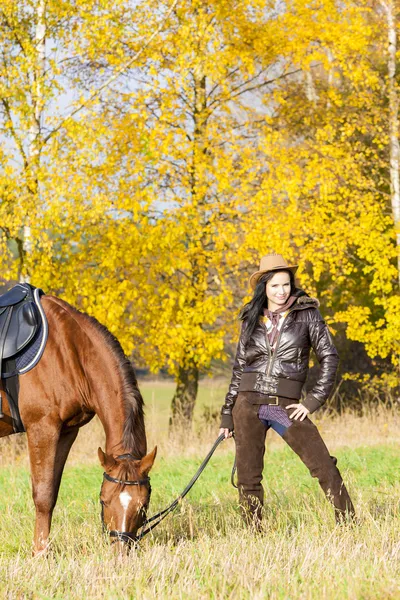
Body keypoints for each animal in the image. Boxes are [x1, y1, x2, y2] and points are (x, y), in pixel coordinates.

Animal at [0, 294, 156, 552]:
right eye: (104, 501)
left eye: (143, 505)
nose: (120, 552)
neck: (69, 349)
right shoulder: (42, 428)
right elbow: (42, 495)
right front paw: (40, 553)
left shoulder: (67, 431)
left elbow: (52, 493)